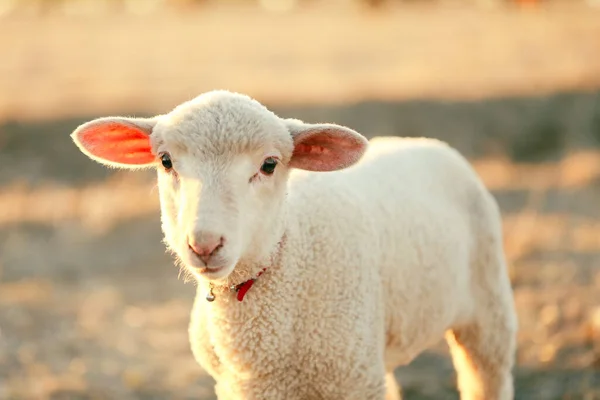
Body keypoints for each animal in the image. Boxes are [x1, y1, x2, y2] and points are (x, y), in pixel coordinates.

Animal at [70, 90, 516, 400]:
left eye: (269, 165)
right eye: (165, 161)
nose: (205, 244)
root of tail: (426, 141)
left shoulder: (348, 380)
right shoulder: (241, 387)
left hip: (488, 312)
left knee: (487, 376)